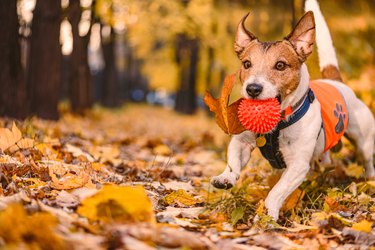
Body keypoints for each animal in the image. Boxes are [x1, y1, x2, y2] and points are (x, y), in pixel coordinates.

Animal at [213, 0, 374, 220]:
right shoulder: (241, 143)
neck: (277, 125)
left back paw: (369, 178)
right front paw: (226, 177)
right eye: (246, 64)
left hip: (363, 140)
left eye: (280, 65)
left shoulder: (297, 165)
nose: (252, 89)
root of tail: (336, 81)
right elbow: (233, 160)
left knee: (367, 159)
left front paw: (266, 216)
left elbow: (277, 191)